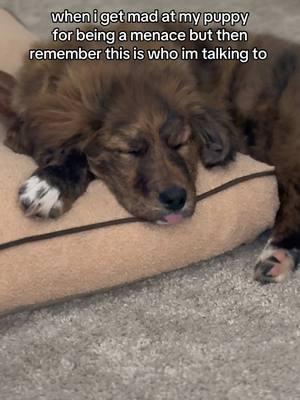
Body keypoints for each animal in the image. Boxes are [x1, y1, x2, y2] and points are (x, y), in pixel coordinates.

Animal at [0, 22, 298, 284]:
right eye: (131, 150)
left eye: (180, 143)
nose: (176, 199)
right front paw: (49, 184)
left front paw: (48, 187)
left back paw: (276, 256)